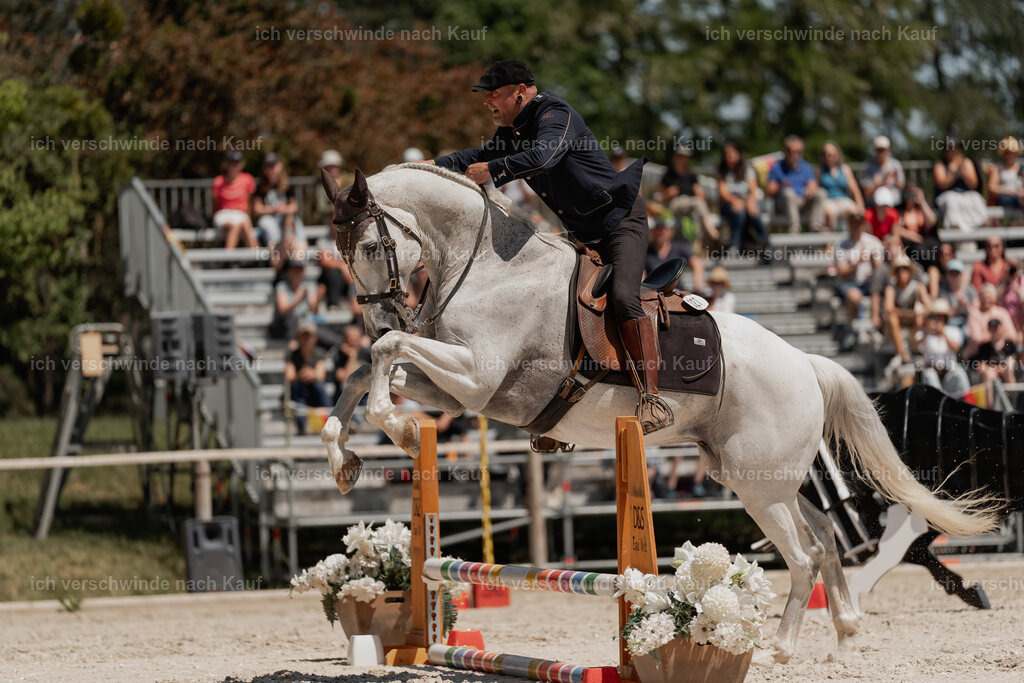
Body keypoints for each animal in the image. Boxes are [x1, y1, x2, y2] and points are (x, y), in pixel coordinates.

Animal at [318, 162, 999, 664]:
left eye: (373, 245)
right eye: (341, 253)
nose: (382, 312)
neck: (486, 267)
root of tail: (806, 362)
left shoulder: (477, 381)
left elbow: (384, 355)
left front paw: (401, 429)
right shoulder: (459, 389)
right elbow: (366, 368)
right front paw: (344, 460)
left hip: (759, 485)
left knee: (804, 556)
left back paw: (779, 649)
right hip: (765, 480)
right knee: (827, 540)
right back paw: (844, 634)